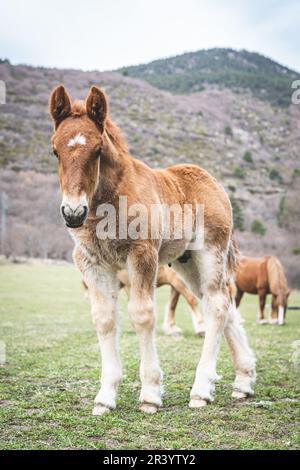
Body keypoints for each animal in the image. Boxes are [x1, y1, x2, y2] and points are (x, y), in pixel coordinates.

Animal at [49, 85, 255, 414]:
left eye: (97, 150)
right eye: (55, 150)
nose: (73, 213)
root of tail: (211, 180)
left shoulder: (142, 254)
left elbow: (142, 315)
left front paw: (149, 394)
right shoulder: (91, 261)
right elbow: (105, 319)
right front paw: (105, 397)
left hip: (210, 252)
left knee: (217, 305)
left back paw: (201, 390)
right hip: (186, 262)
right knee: (223, 304)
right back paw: (243, 382)